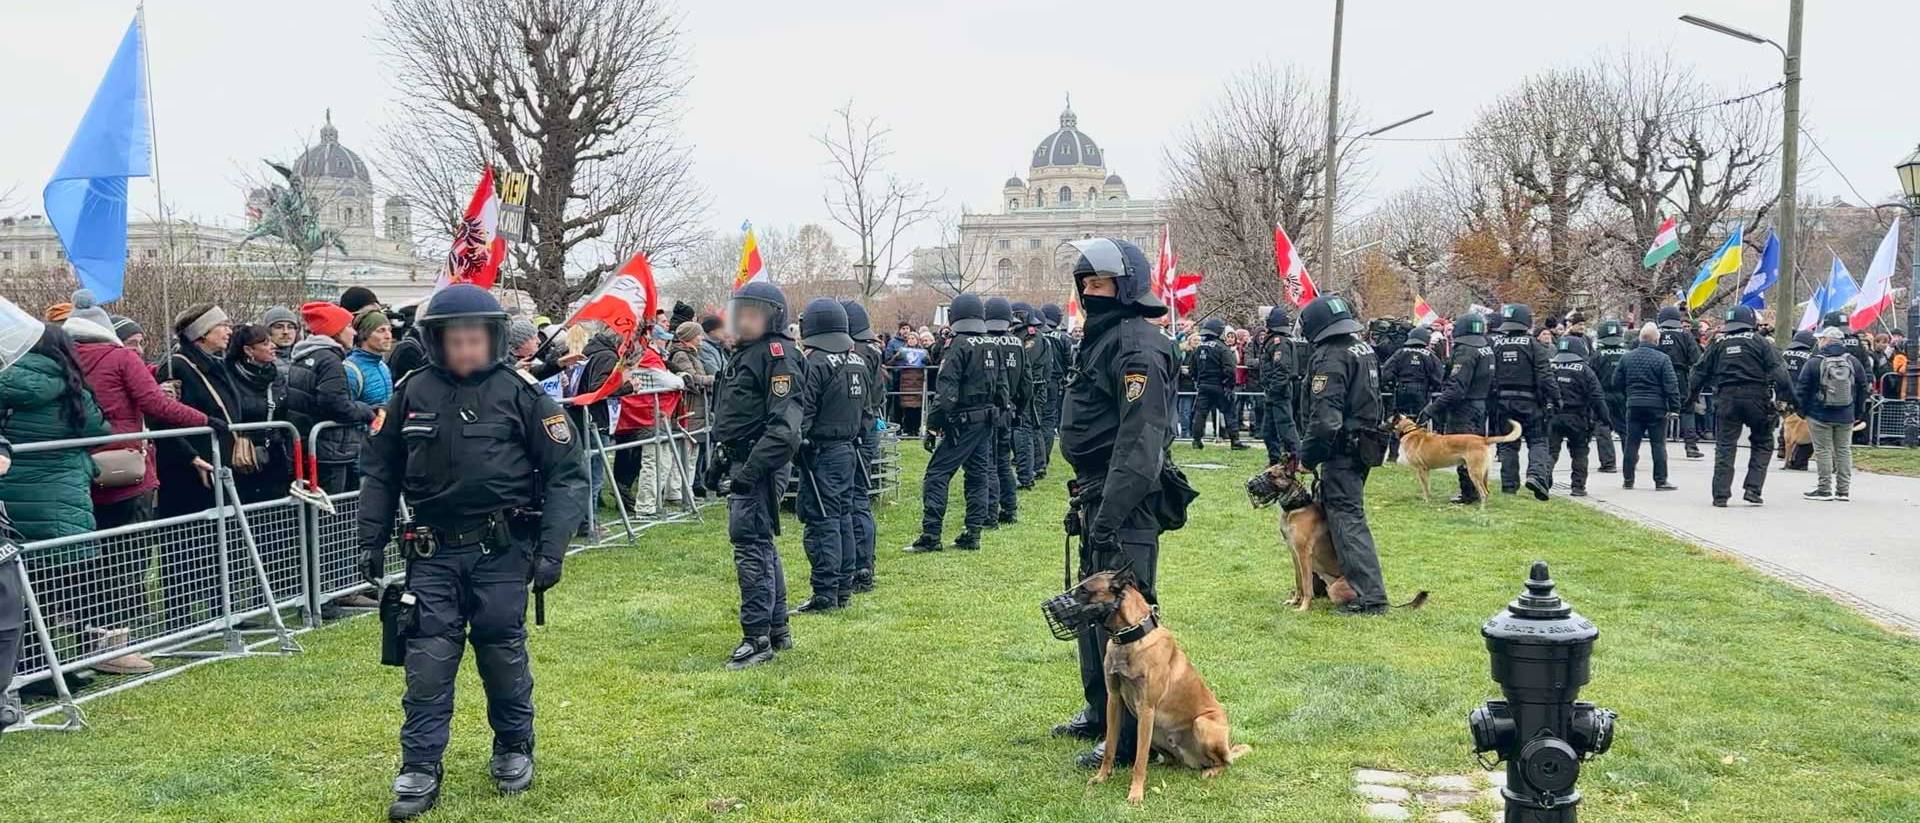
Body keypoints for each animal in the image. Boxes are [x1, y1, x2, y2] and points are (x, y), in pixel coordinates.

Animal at [1082, 567, 1259, 798]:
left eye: (1084, 590)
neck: (1130, 637)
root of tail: (1194, 761)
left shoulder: (1146, 709)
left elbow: (1139, 760)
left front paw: (1136, 793)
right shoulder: (1114, 700)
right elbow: (1111, 746)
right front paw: (1102, 777)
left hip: (1200, 723)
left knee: (1225, 763)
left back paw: (1211, 770)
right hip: (1155, 733)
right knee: (1171, 759)